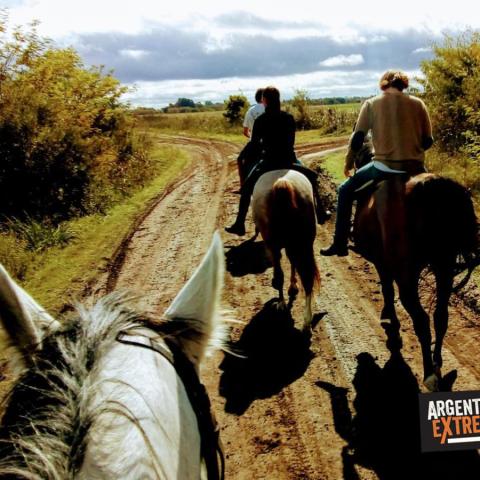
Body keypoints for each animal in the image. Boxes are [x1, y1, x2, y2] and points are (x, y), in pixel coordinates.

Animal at [251, 170, 318, 334]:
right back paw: (307, 322)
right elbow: (293, 263)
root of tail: (282, 183)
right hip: (304, 243)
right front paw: (293, 286)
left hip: (273, 244)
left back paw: (281, 303)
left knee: (280, 275)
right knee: (307, 278)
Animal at [350, 150, 478, 390]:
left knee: (421, 320)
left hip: (407, 275)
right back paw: (436, 362)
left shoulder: (382, 264)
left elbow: (387, 289)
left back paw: (429, 373)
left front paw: (389, 319)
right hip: (444, 266)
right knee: (440, 316)